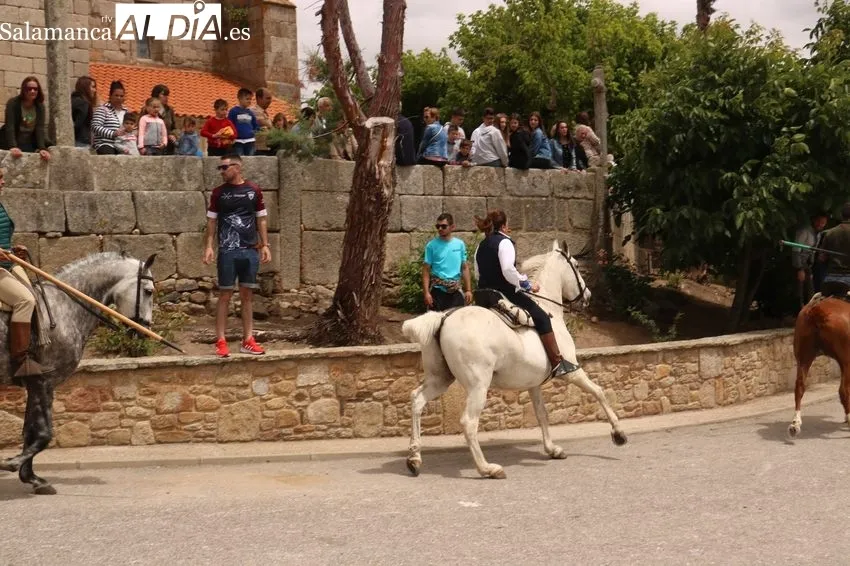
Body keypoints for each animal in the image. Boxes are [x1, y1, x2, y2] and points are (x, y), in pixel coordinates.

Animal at [0, 252, 156, 494]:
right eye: (149, 291)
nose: (145, 332)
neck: (63, 307)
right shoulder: (43, 381)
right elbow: (43, 433)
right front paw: (13, 463)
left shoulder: (37, 385)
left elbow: (30, 432)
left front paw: (32, 478)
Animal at [402, 241, 627, 479]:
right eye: (575, 264)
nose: (588, 296)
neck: (549, 309)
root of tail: (443, 318)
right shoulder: (573, 371)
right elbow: (599, 392)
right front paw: (618, 433)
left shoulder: (534, 383)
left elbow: (542, 413)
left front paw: (552, 449)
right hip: (478, 386)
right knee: (469, 422)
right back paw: (487, 468)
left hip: (440, 378)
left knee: (417, 400)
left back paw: (414, 458)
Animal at [788, 289, 850, 438]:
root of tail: (816, 310)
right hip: (846, 359)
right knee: (844, 390)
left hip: (804, 357)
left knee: (799, 386)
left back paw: (795, 424)